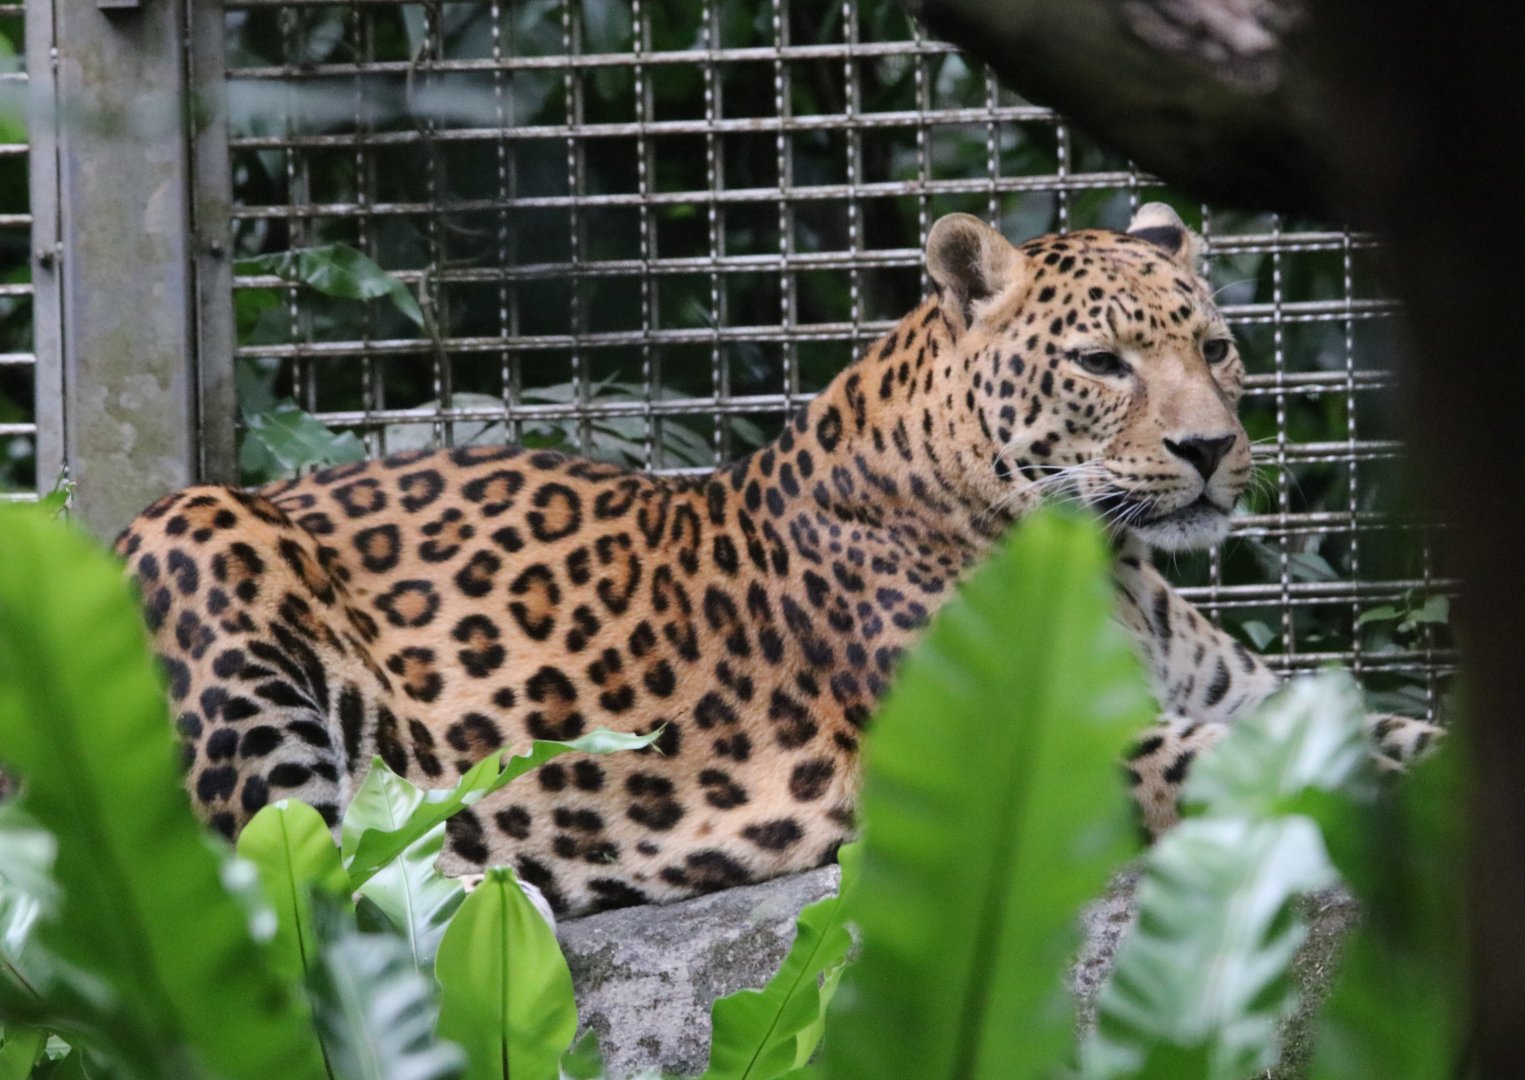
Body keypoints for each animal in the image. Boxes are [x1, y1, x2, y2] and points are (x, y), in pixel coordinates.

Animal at [115, 204, 1441, 917]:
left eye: (1214, 348)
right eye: (1101, 364)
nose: (1210, 448)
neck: (1105, 562)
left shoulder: (1238, 691)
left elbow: (1361, 720)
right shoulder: (1027, 757)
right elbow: (1281, 759)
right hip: (196, 550)